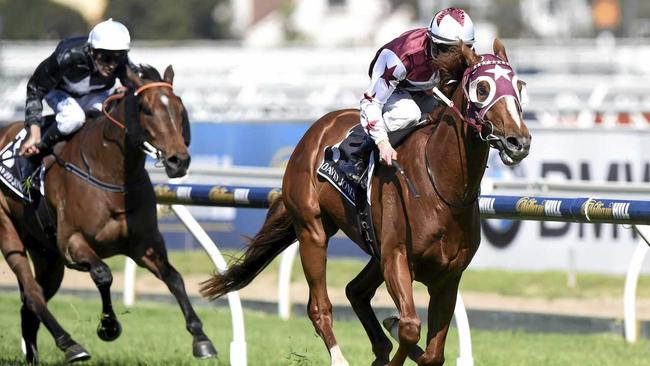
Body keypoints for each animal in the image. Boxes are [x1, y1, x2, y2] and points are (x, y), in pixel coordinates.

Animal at [0, 65, 218, 364]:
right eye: (146, 109)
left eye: (179, 107)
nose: (178, 161)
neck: (109, 173)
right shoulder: (72, 243)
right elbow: (103, 274)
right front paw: (108, 326)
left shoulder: (144, 245)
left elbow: (174, 278)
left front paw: (201, 339)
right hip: (11, 235)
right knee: (33, 294)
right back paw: (71, 345)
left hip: (47, 256)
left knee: (30, 304)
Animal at [200, 38, 528, 364]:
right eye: (482, 88)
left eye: (520, 86)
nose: (519, 141)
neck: (442, 189)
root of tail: (319, 126)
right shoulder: (397, 258)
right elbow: (410, 327)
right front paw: (396, 330)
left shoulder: (448, 276)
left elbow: (432, 354)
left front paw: (396, 336)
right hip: (312, 230)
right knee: (319, 306)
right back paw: (340, 357)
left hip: (373, 249)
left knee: (355, 291)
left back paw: (380, 346)